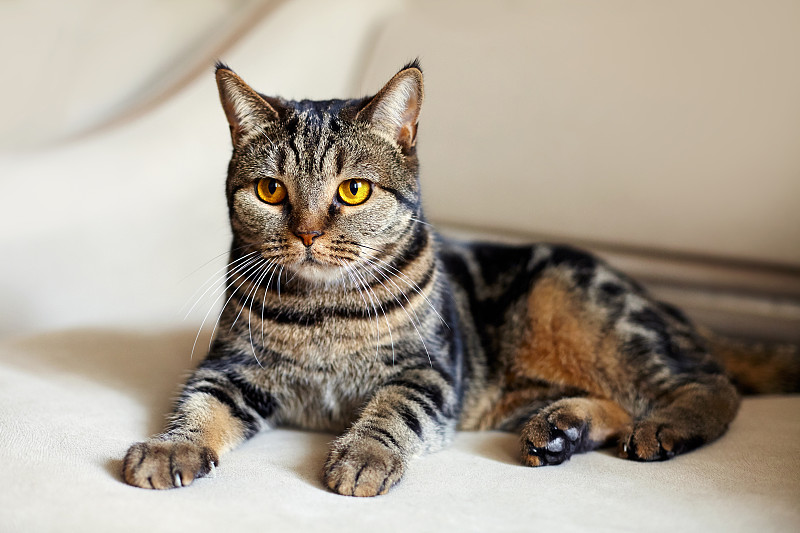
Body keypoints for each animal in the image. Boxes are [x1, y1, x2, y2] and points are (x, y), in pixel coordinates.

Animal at [122, 60, 796, 496]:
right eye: (269, 191)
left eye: (353, 190)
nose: (307, 234)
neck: (324, 312)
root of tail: (678, 313)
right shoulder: (231, 367)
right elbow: (198, 408)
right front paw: (170, 447)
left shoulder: (428, 370)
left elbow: (392, 411)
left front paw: (363, 453)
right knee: (620, 399)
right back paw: (561, 429)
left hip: (595, 311)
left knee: (707, 385)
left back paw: (663, 425)